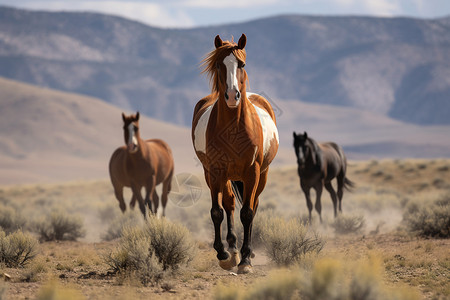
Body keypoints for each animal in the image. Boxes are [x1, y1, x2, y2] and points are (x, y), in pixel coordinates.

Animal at [190, 34, 278, 274]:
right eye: (219, 65)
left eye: (242, 64)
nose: (232, 96)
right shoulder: (215, 171)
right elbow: (217, 211)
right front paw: (224, 254)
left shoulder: (252, 172)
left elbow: (247, 212)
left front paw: (246, 260)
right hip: (222, 175)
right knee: (229, 204)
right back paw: (232, 248)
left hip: (262, 175)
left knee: (253, 205)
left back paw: (247, 252)